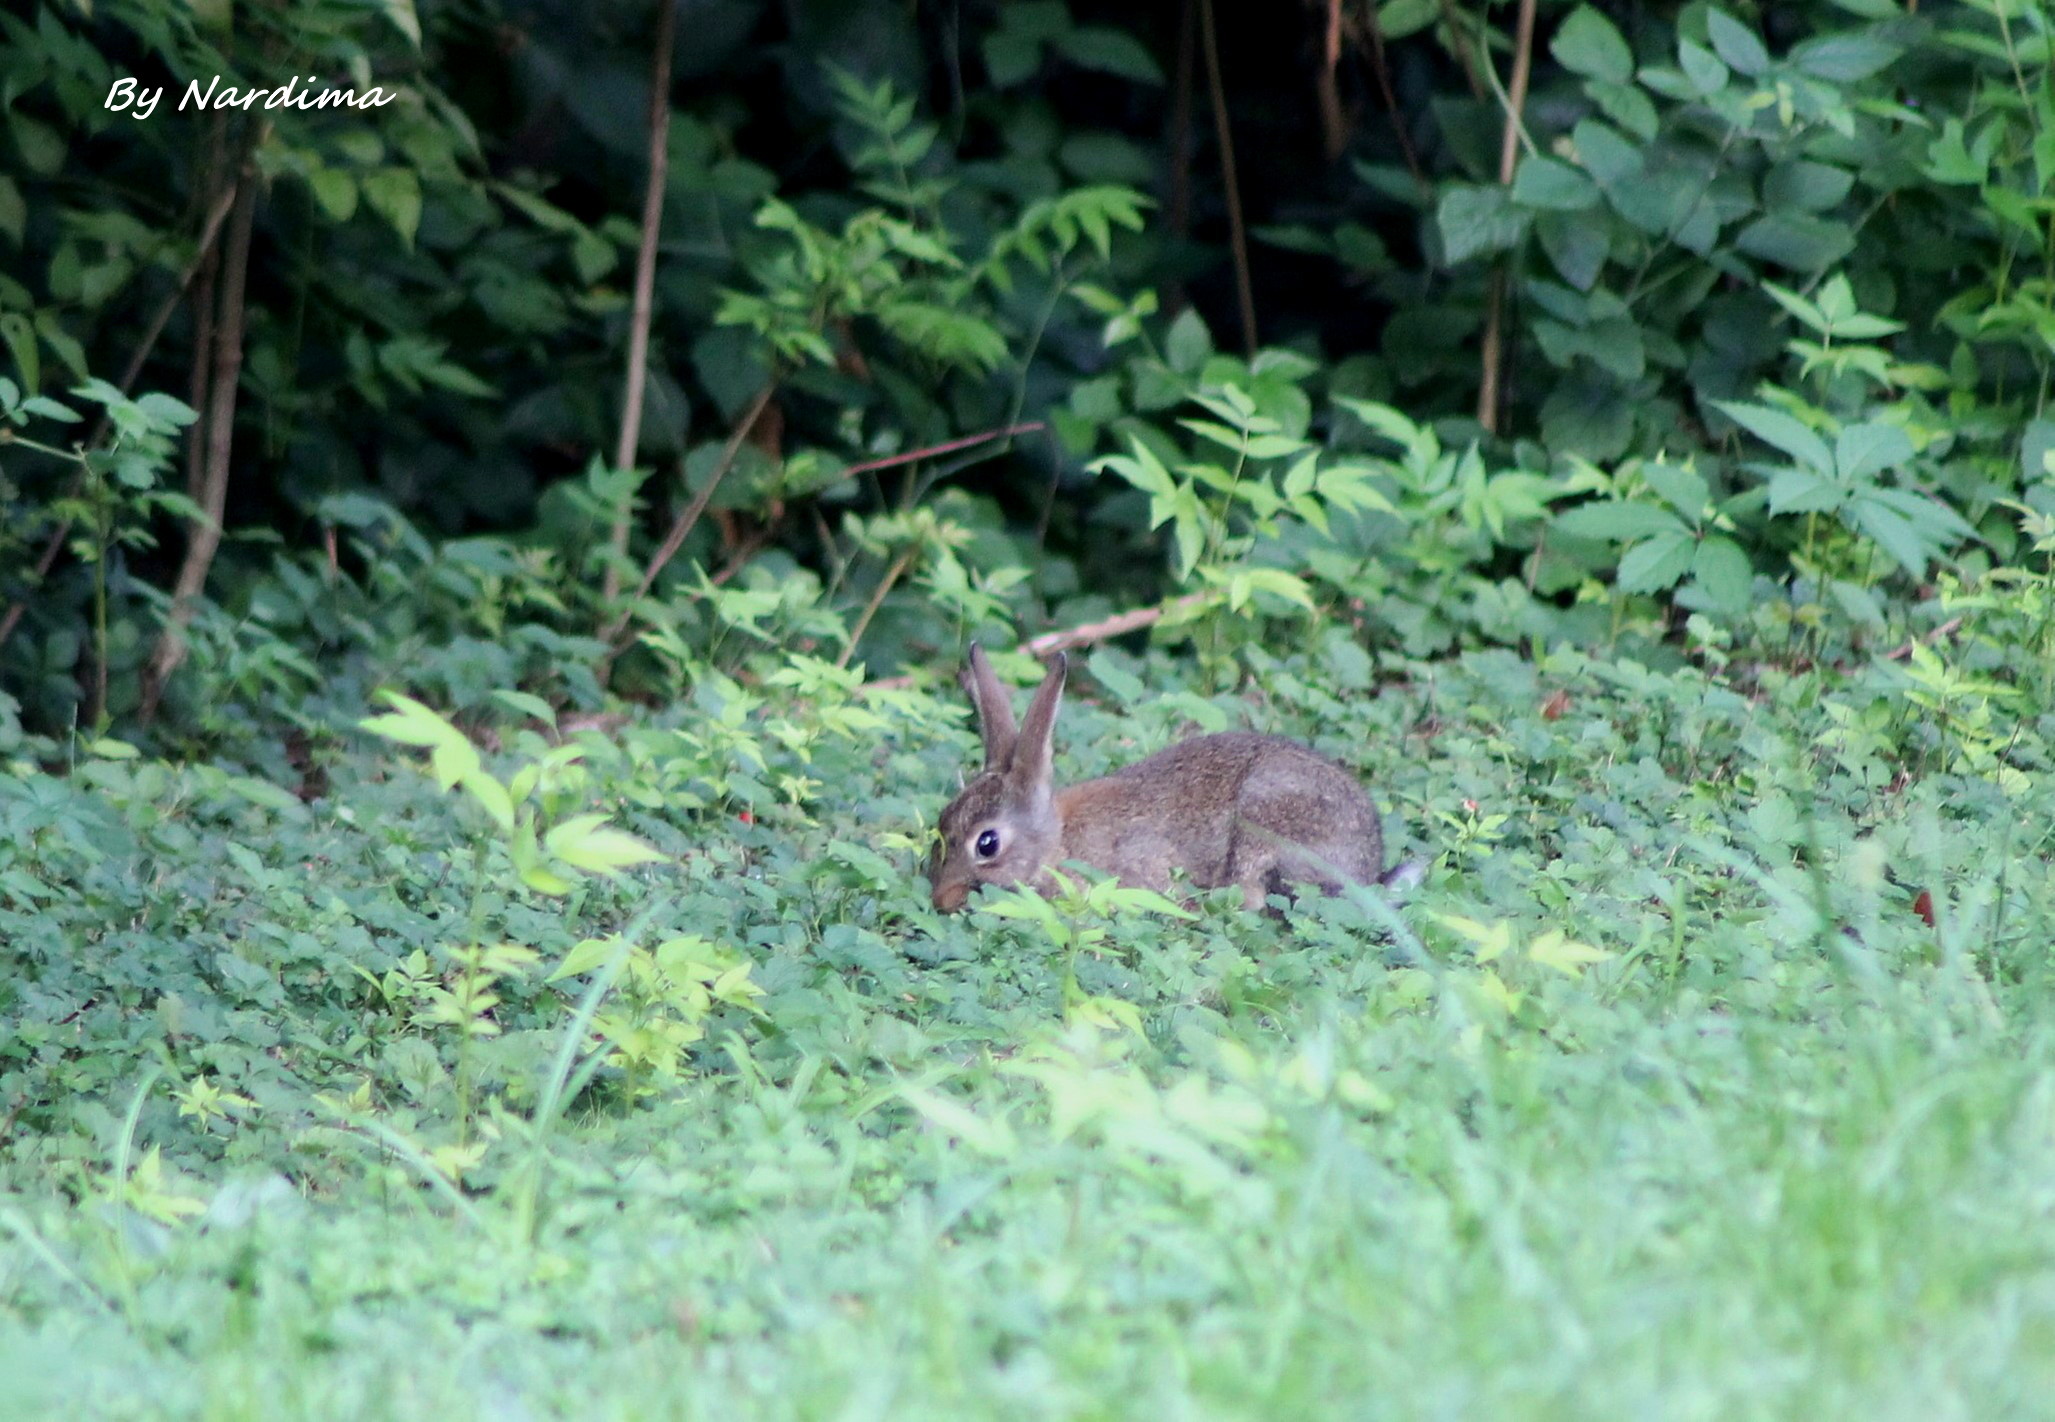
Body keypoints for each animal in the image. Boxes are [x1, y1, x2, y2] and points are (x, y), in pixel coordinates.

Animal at [930, 643, 1402, 913]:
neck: (1056, 843)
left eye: (987, 844)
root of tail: (1368, 864)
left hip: (1266, 824)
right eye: (941, 823)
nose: (941, 898)